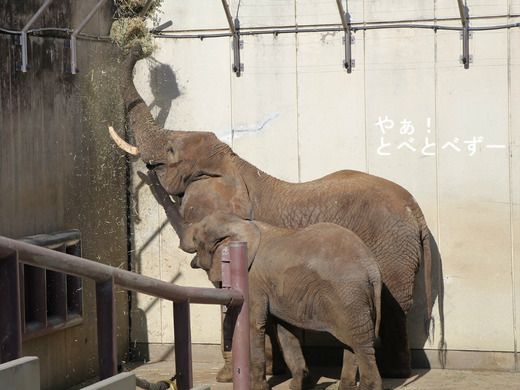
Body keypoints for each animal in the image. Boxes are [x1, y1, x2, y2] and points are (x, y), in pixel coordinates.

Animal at [189, 210, 384, 390]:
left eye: (194, 239)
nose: (192, 263)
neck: (240, 224)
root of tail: (371, 267)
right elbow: (287, 332)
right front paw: (299, 386)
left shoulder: (252, 280)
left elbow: (255, 325)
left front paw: (258, 388)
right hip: (354, 298)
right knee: (351, 340)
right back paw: (345, 387)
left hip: (347, 294)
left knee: (360, 341)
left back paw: (368, 387)